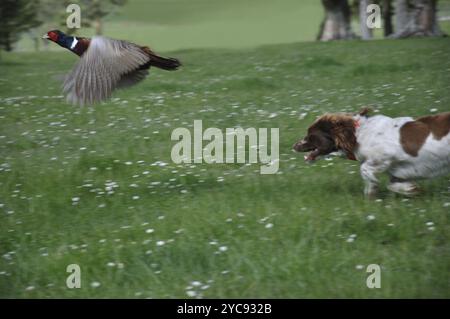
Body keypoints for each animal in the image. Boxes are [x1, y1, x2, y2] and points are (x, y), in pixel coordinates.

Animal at [292, 111, 450, 199]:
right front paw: (410, 189)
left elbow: (365, 170)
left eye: (310, 135)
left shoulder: (385, 155)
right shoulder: (398, 171)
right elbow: (393, 184)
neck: (357, 134)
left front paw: (372, 189)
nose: (294, 146)